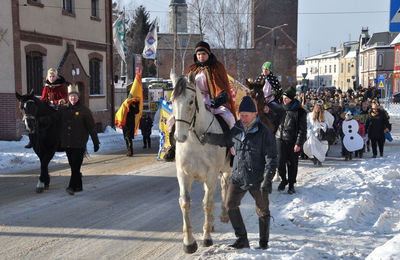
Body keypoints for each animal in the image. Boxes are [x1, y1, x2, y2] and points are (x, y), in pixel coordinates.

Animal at [171, 71, 233, 254]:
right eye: (172, 101)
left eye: (191, 101)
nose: (179, 137)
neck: (196, 140)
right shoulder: (184, 175)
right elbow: (185, 203)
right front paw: (189, 243)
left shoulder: (211, 174)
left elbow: (206, 204)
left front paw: (206, 238)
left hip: (225, 169)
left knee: (224, 186)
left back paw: (223, 215)